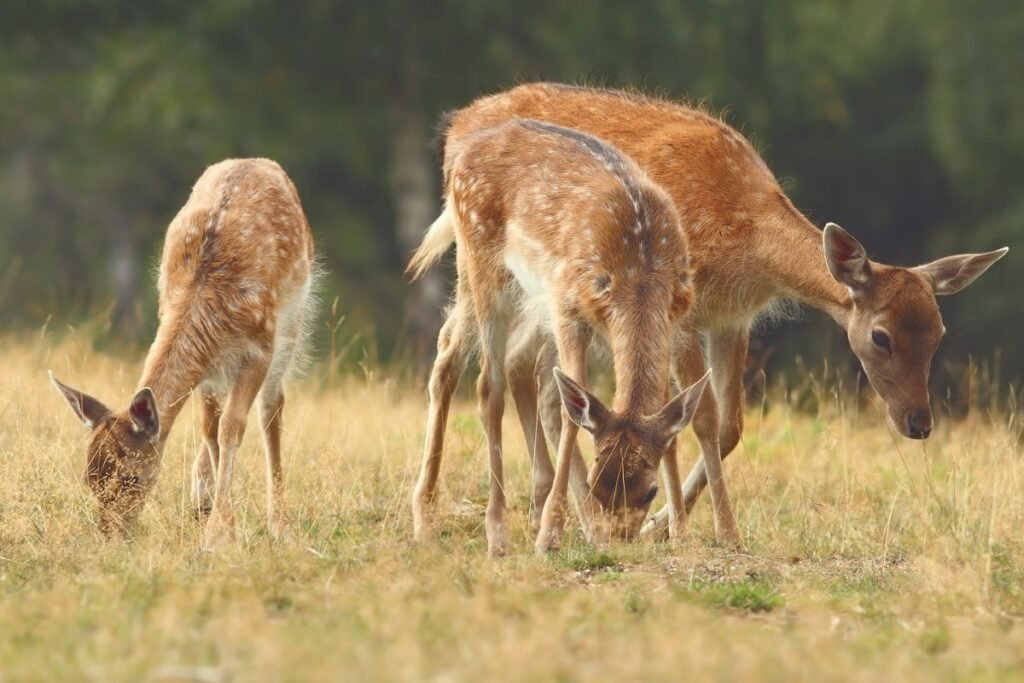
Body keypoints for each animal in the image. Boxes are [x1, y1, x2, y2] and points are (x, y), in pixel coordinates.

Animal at [50, 156, 315, 548]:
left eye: (131, 477)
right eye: (89, 478)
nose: (111, 537)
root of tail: (258, 161)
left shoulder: (259, 347)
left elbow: (232, 427)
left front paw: (220, 534)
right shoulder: (207, 361)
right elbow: (210, 428)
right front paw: (217, 519)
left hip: (292, 317)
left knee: (272, 408)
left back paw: (279, 523)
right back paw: (202, 498)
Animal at [407, 117, 712, 557]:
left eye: (650, 491)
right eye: (598, 484)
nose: (620, 540)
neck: (639, 273)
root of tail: (460, 153)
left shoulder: (675, 315)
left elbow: (669, 415)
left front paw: (682, 533)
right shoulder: (567, 308)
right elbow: (572, 409)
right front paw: (549, 534)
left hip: (486, 279)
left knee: (449, 349)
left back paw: (426, 517)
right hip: (483, 260)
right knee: (487, 387)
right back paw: (495, 532)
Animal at [434, 83, 1007, 540]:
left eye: (939, 332)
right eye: (881, 336)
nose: (919, 423)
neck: (745, 241)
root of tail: (458, 123)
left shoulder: (733, 321)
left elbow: (729, 425)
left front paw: (662, 521)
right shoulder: (684, 315)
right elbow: (700, 418)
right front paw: (709, 531)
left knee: (526, 370)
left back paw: (553, 508)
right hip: (494, 268)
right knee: (461, 352)